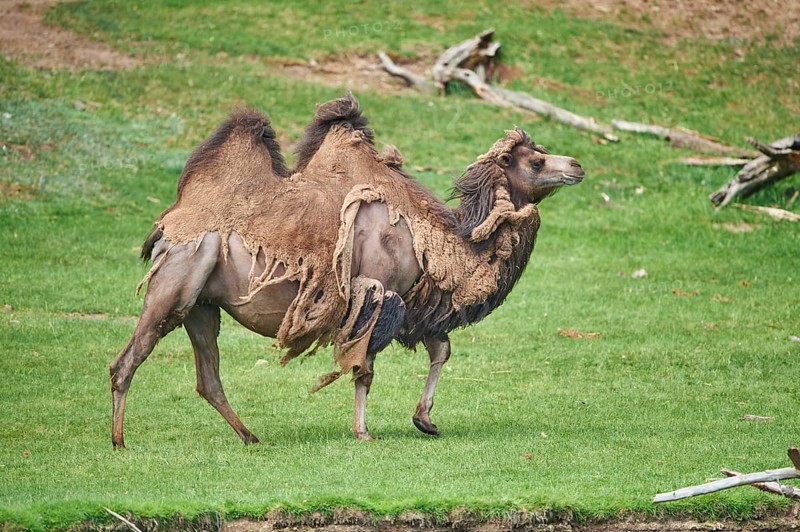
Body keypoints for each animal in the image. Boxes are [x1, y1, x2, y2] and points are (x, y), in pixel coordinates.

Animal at [110, 94, 584, 448]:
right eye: (536, 162)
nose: (578, 165)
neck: (434, 241)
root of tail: (168, 224)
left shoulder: (415, 306)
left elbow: (441, 349)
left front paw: (425, 420)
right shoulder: (377, 291)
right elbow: (365, 368)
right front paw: (363, 432)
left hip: (203, 305)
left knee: (208, 377)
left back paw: (250, 436)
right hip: (177, 279)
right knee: (129, 357)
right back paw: (119, 442)